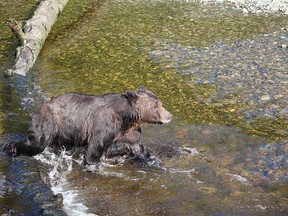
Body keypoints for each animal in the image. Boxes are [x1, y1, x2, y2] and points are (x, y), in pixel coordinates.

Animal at [4, 86, 172, 164]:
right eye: (157, 106)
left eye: (160, 103)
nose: (170, 115)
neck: (126, 118)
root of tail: (40, 107)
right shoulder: (104, 123)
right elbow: (95, 147)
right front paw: (94, 162)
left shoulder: (128, 131)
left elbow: (137, 147)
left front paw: (150, 158)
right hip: (50, 122)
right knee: (37, 142)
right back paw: (10, 147)